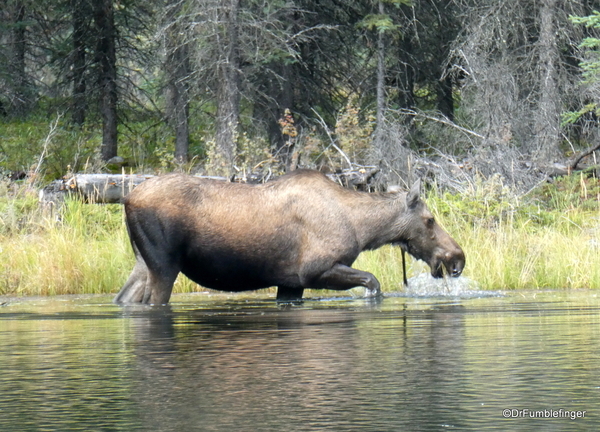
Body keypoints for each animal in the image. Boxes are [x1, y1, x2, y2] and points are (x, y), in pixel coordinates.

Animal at [115, 169, 466, 304]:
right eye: (430, 220)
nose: (457, 258)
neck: (361, 228)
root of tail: (127, 199)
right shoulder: (314, 271)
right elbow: (373, 282)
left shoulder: (290, 284)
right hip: (164, 264)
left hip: (142, 262)